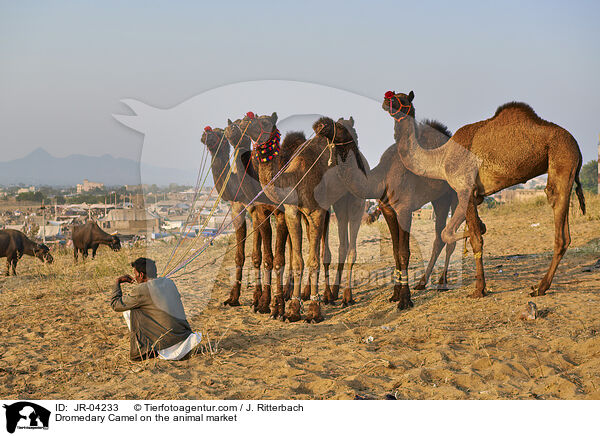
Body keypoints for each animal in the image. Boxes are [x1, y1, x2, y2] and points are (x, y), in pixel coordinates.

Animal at [239, 111, 366, 324]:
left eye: (264, 121)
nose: (243, 122)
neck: (296, 176)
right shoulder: (292, 212)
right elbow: (298, 260)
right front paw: (292, 310)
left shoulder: (316, 211)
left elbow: (313, 260)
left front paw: (314, 311)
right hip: (336, 205)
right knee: (341, 244)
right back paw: (331, 294)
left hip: (356, 200)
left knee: (351, 249)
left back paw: (346, 297)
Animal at [318, 114, 460, 308]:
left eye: (340, 127)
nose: (321, 125)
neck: (381, 178)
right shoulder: (388, 210)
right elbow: (395, 251)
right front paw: (395, 295)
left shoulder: (404, 209)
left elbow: (404, 251)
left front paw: (405, 300)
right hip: (440, 198)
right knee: (439, 237)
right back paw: (422, 283)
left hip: (454, 192)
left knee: (450, 235)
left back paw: (442, 283)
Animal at [384, 90, 584, 298]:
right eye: (391, 95)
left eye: (401, 99)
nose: (386, 102)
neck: (442, 158)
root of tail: (577, 146)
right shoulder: (473, 194)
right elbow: (462, 234)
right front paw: (481, 227)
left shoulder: (464, 189)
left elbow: (466, 238)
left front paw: (479, 289)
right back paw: (540, 285)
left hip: (563, 159)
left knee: (559, 224)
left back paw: (540, 287)